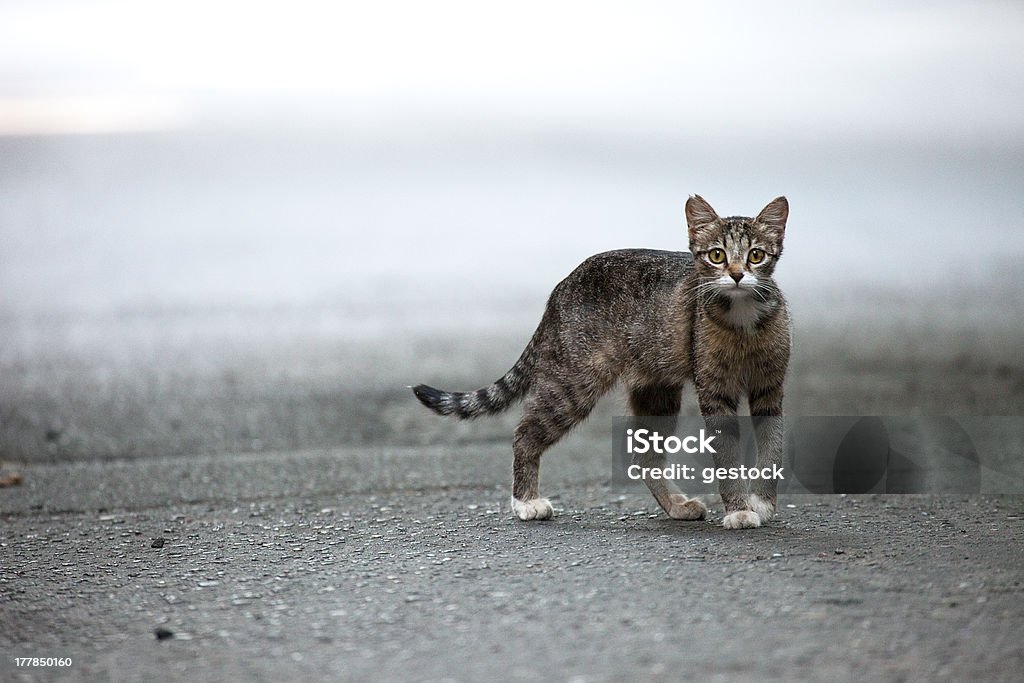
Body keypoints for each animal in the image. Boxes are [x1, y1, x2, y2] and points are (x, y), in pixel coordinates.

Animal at [411, 194, 786, 532]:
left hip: (655, 390)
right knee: (524, 434)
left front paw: (761, 503)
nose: (736, 274)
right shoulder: (714, 394)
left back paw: (676, 506)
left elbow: (772, 448)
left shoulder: (770, 390)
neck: (742, 322)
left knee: (645, 456)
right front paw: (739, 511)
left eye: (756, 255)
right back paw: (526, 502)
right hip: (574, 384)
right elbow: (727, 456)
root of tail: (560, 288)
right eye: (717, 255)